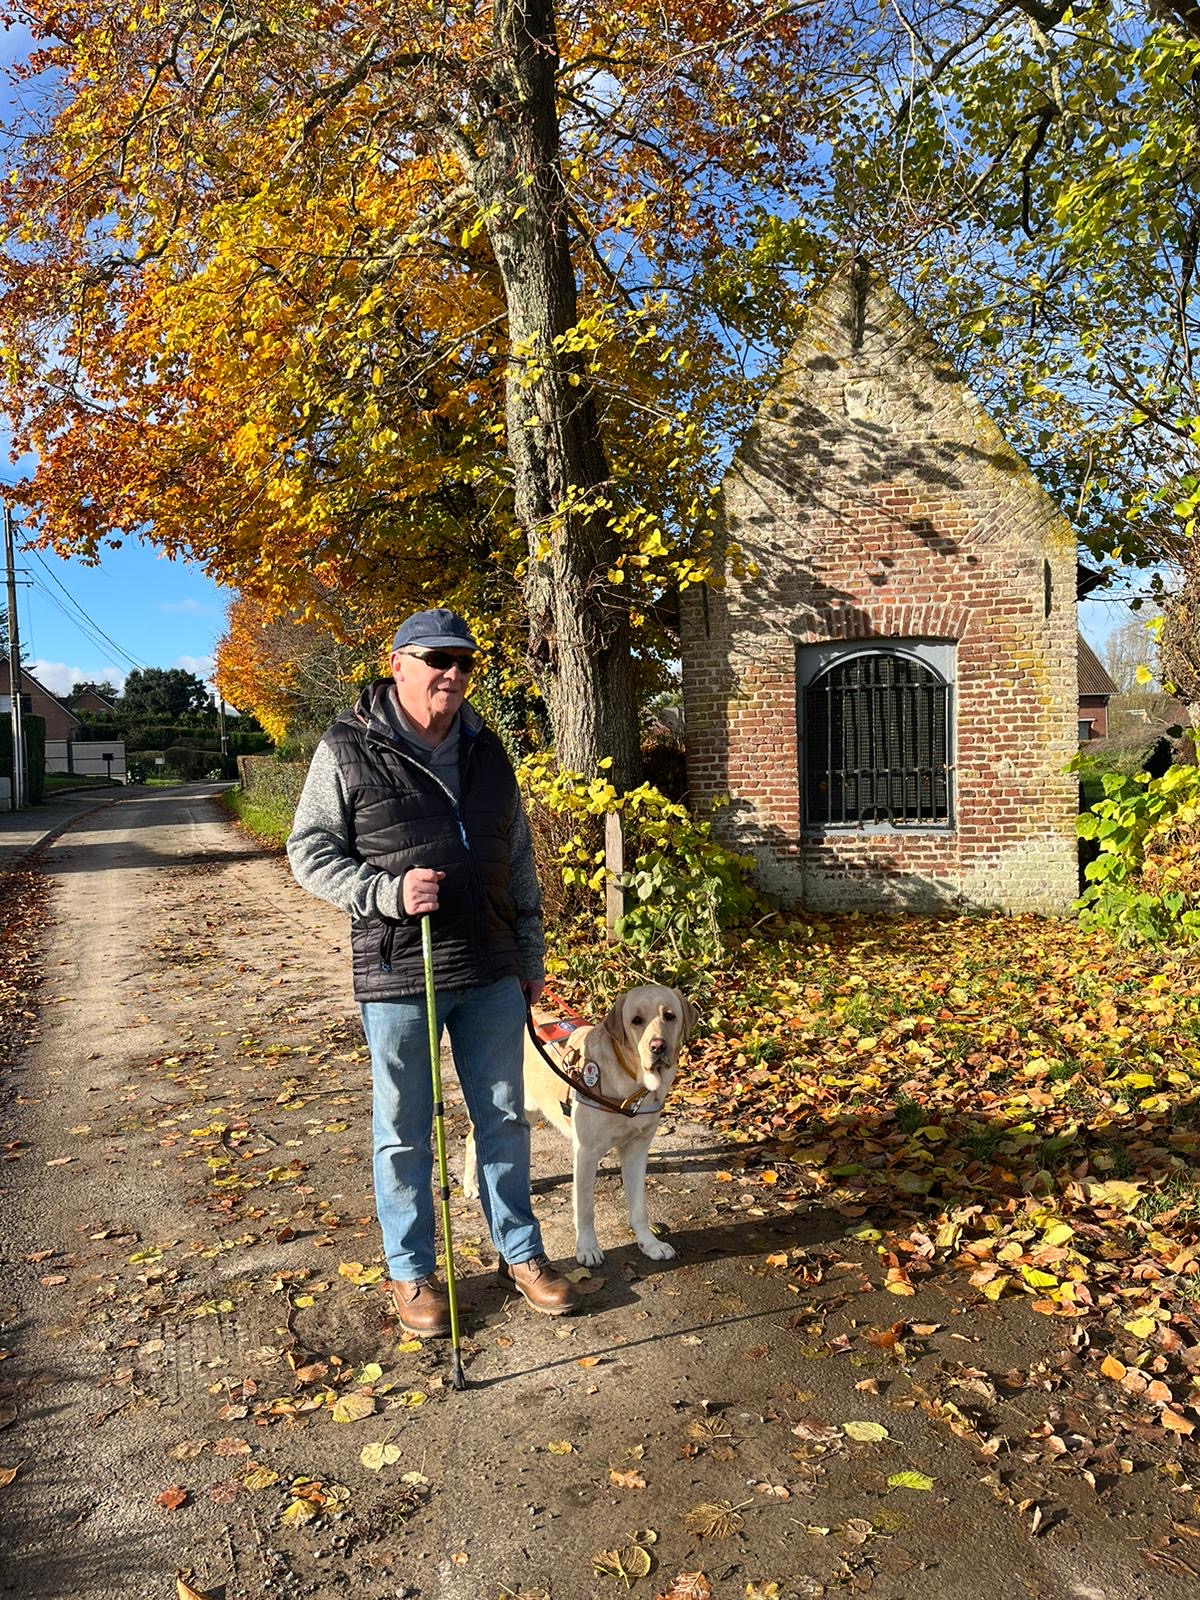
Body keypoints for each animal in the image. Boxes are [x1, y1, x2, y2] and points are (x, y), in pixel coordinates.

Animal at [464, 979, 700, 1267]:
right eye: (636, 1020)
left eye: (669, 1016)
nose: (658, 1047)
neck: (632, 1084)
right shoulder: (585, 1154)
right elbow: (585, 1208)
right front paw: (587, 1248)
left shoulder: (637, 1150)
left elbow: (639, 1207)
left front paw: (649, 1243)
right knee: (471, 1141)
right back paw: (470, 1184)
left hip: (528, 1110)